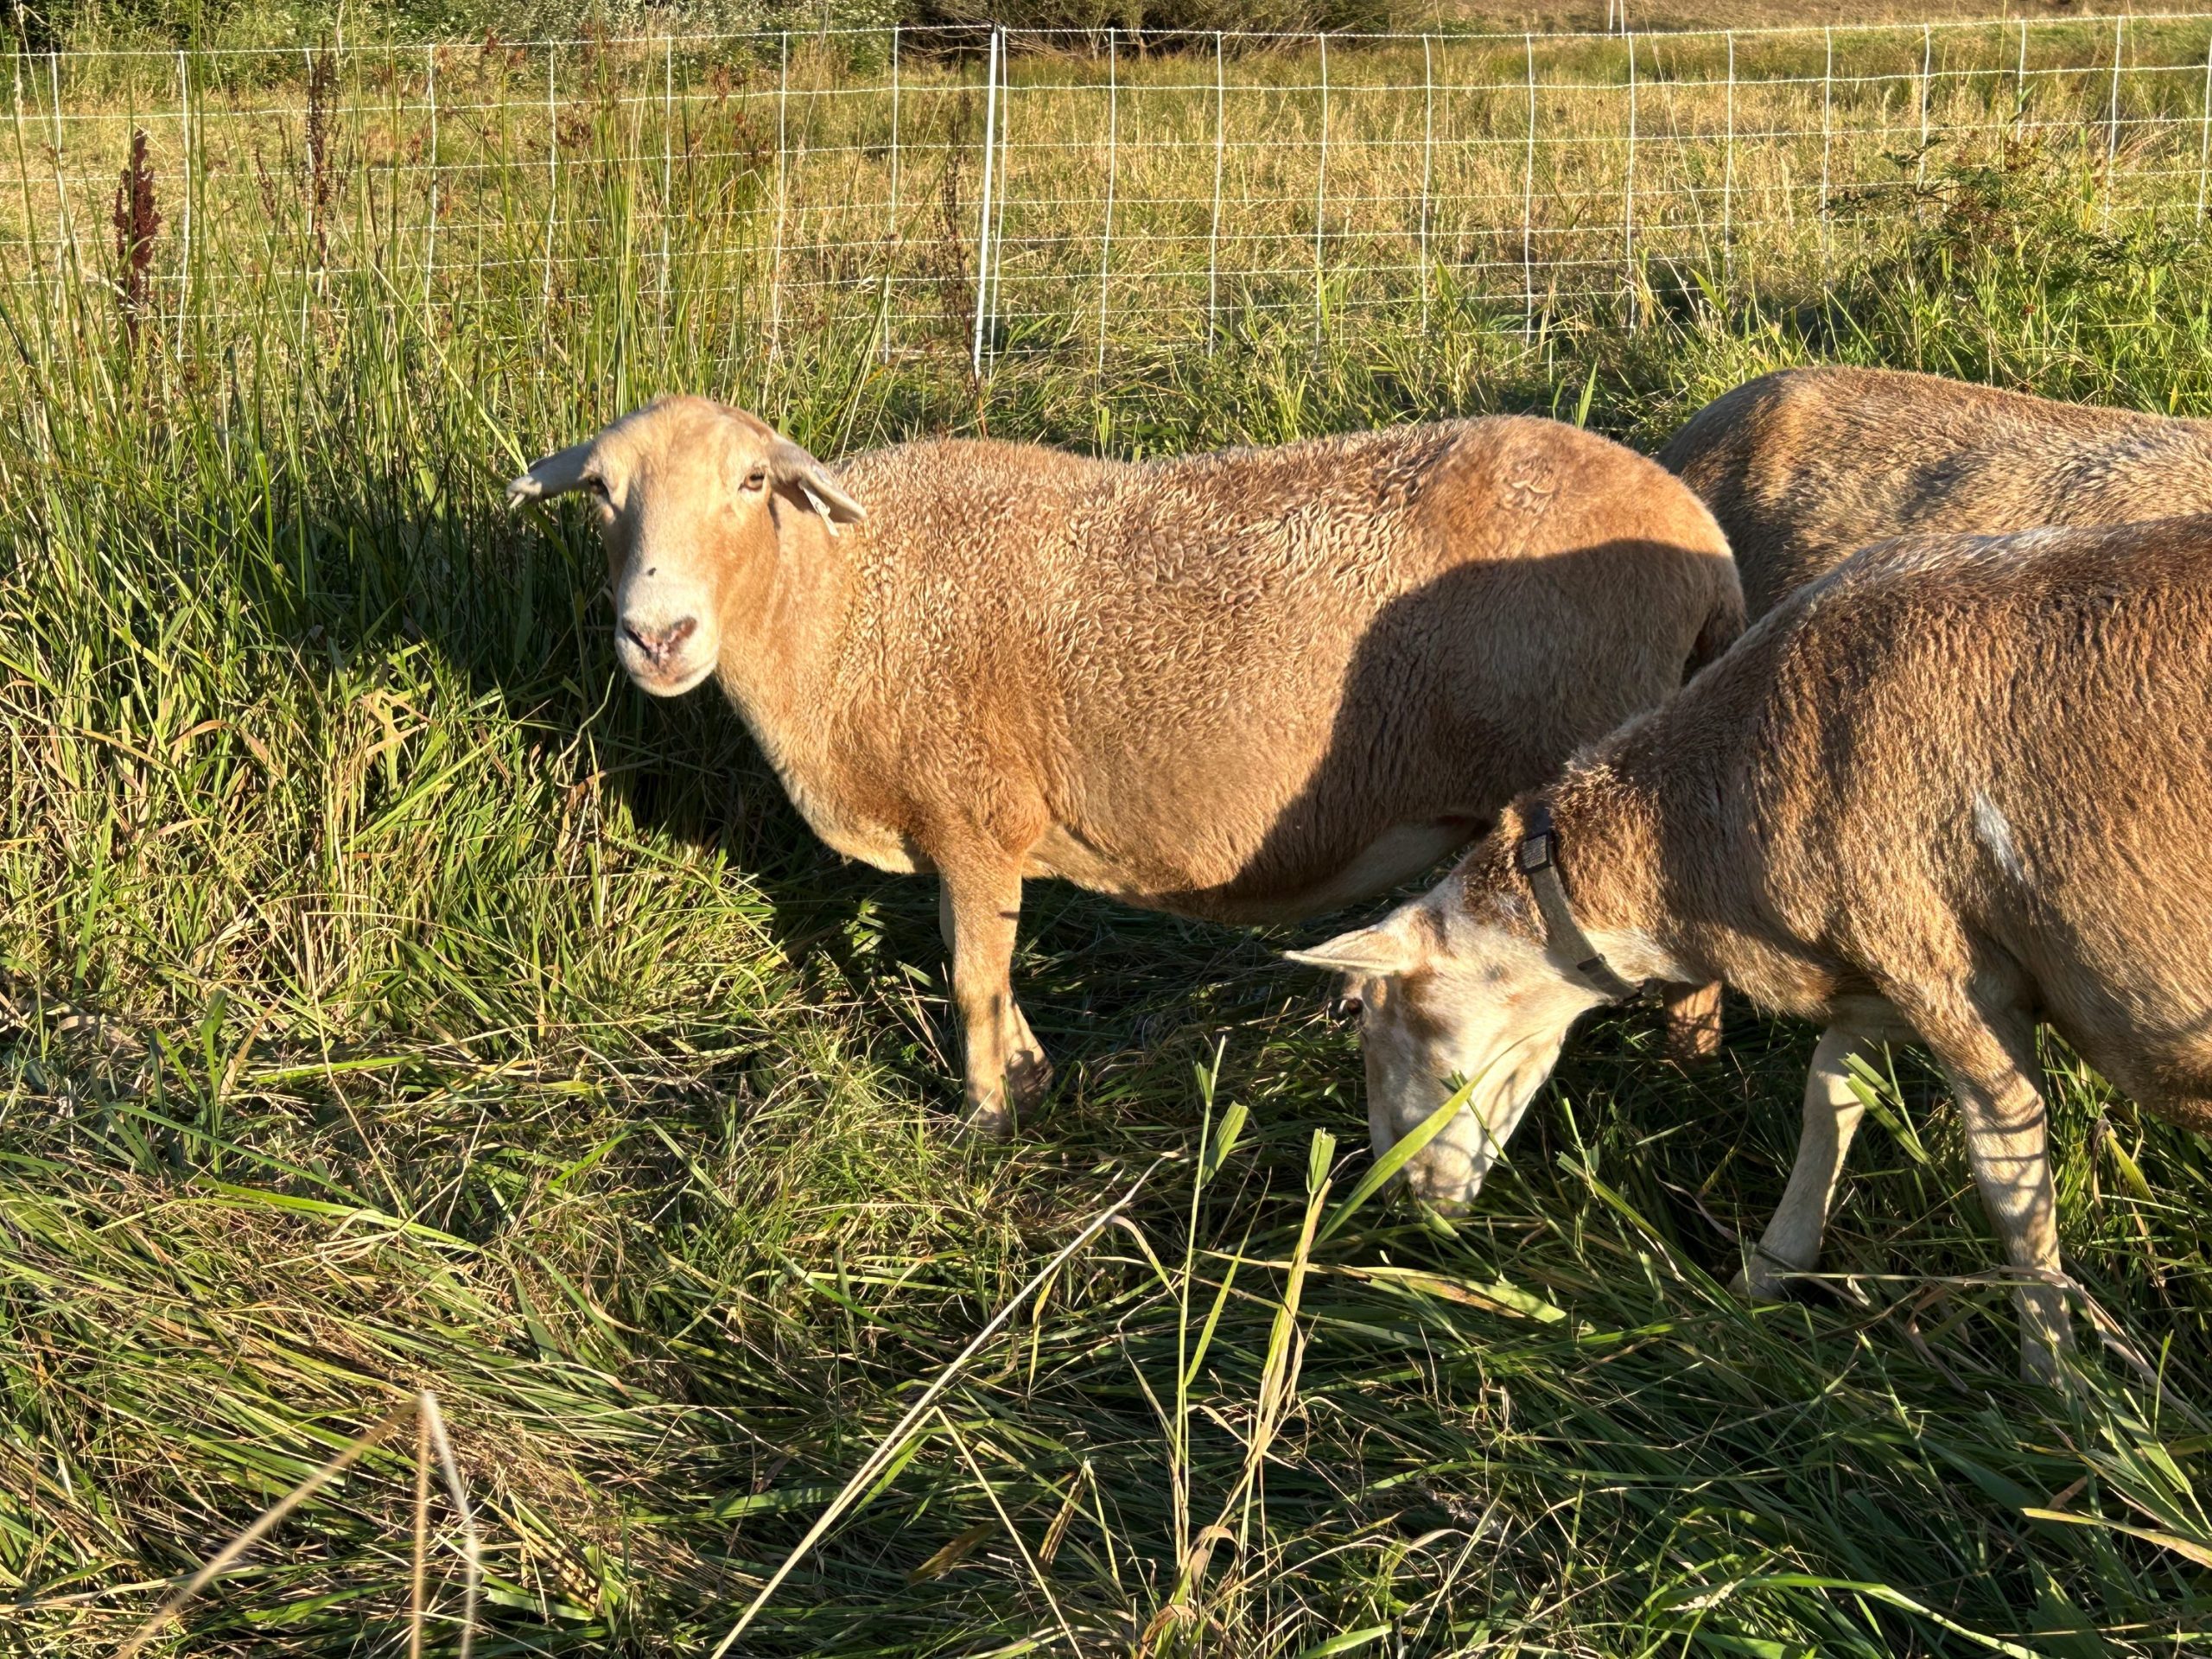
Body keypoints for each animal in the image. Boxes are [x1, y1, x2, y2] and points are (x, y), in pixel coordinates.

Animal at [509, 396, 1742, 1135]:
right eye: (602, 493)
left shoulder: (971, 809)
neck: (847, 600)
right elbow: (980, 955)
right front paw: (1028, 1076)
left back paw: (1684, 1084)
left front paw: (986, 1120)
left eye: (752, 485)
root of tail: (1705, 544)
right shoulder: (975, 830)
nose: (657, 635)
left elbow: (971, 973)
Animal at [1293, 514, 2212, 1382]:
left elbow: (2010, 1181)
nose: (1406, 1204)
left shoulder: (1950, 975)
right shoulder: (1875, 978)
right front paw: (1763, 1278)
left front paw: (2057, 1385)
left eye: (1375, 1019)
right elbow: (1830, 1094)